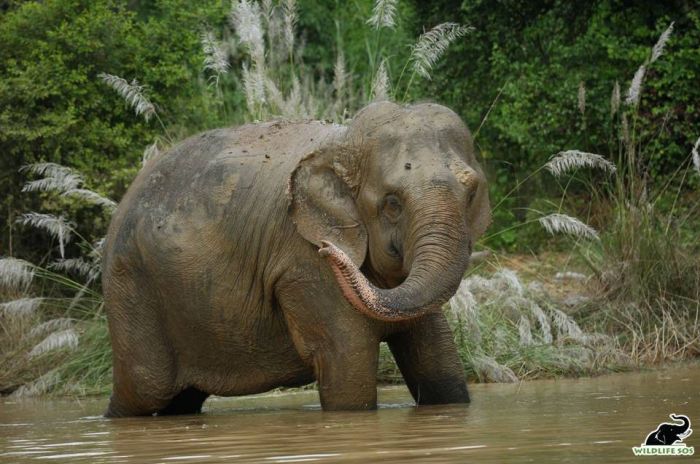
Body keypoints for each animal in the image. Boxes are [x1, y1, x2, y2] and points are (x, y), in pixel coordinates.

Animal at [101, 101, 490, 416]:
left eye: (471, 192)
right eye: (392, 203)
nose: (328, 250)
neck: (342, 143)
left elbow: (439, 360)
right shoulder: (304, 264)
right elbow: (348, 363)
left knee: (180, 398)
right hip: (131, 285)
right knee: (146, 388)